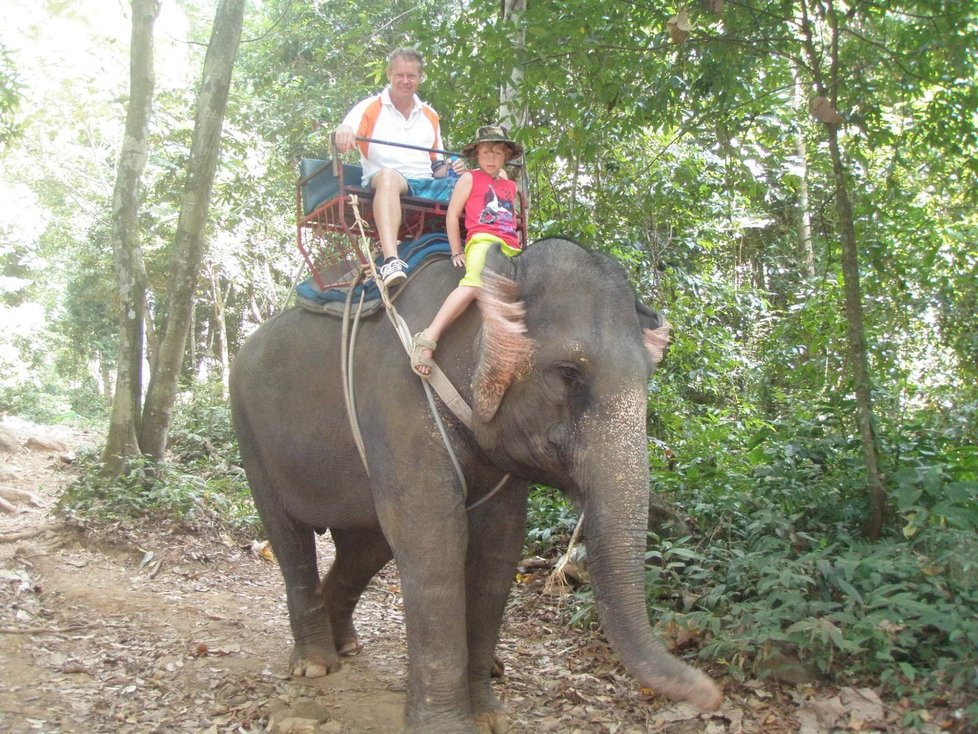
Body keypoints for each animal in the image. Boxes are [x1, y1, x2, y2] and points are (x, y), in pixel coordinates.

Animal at [227, 239, 716, 732]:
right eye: (567, 372)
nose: (710, 691)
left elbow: (499, 545)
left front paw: (488, 717)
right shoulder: (399, 401)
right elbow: (433, 540)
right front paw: (446, 725)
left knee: (365, 546)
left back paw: (343, 643)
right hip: (249, 431)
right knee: (288, 536)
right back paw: (314, 663)